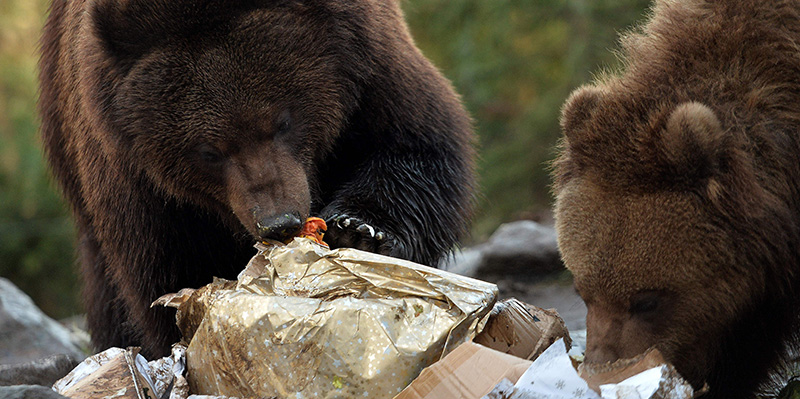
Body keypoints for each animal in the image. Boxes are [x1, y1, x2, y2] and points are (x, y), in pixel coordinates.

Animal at [37, 0, 476, 360]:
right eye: (209, 151)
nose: (279, 221)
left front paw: (361, 229)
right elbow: (167, 264)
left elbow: (417, 146)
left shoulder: (367, 66)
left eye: (282, 121)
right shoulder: (135, 173)